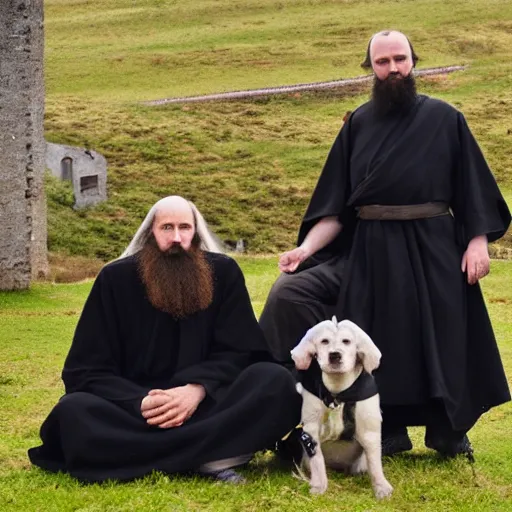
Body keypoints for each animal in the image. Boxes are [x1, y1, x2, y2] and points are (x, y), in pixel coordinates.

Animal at [290, 318, 394, 498]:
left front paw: (381, 487)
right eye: (324, 341)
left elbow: (375, 463)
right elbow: (317, 460)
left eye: (347, 341)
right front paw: (319, 485)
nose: (334, 355)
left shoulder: (370, 431)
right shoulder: (311, 431)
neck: (338, 391)